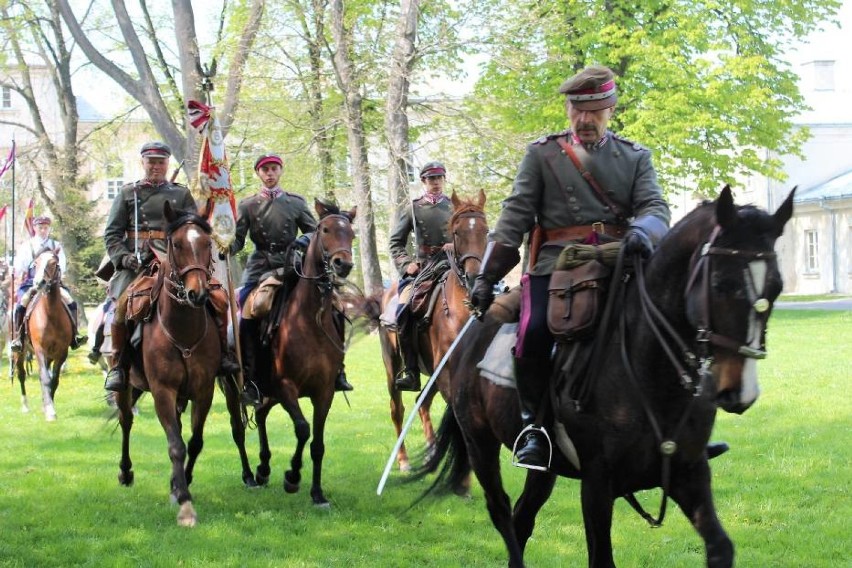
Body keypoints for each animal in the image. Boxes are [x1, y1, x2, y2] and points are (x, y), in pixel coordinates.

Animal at [13, 247, 73, 418]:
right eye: (36, 263)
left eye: (54, 263)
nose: (39, 283)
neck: (51, 315)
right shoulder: (40, 349)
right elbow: (45, 378)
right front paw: (50, 411)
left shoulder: (61, 352)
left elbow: (54, 380)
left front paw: (48, 405)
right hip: (20, 352)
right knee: (21, 374)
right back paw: (25, 406)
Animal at [116, 201, 230, 528]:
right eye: (176, 244)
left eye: (206, 244)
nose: (197, 293)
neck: (183, 331)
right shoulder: (162, 391)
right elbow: (175, 445)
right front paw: (185, 505)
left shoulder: (203, 391)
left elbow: (194, 442)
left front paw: (182, 484)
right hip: (127, 385)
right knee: (126, 422)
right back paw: (125, 472)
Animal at [251, 199, 358, 506]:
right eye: (325, 229)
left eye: (351, 233)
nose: (343, 264)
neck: (310, 321)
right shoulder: (286, 387)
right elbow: (302, 429)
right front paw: (293, 476)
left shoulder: (323, 392)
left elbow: (317, 443)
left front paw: (317, 493)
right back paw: (255, 472)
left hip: (271, 394)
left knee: (261, 414)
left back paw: (263, 468)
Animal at [378, 191, 490, 474]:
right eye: (457, 232)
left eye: (485, 230)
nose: (475, 278)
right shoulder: (446, 371)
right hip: (393, 366)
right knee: (397, 408)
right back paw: (404, 461)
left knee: (423, 403)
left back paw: (431, 451)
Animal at [422, 186, 796, 568]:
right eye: (722, 284)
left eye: (776, 286)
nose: (740, 391)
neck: (651, 370)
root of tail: (466, 338)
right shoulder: (597, 485)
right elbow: (601, 557)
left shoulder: (689, 473)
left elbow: (721, 548)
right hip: (480, 444)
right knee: (500, 510)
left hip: (545, 471)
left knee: (522, 517)